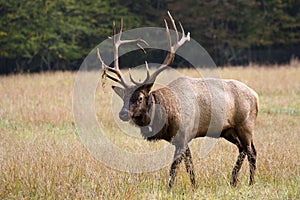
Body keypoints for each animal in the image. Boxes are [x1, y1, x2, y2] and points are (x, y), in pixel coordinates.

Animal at [97, 11, 258, 188]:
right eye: (123, 98)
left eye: (139, 98)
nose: (123, 114)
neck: (166, 117)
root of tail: (256, 96)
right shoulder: (181, 140)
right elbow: (189, 165)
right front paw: (195, 186)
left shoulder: (184, 134)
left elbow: (174, 167)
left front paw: (169, 188)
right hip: (228, 130)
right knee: (243, 149)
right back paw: (233, 180)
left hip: (245, 124)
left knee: (251, 151)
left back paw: (250, 182)